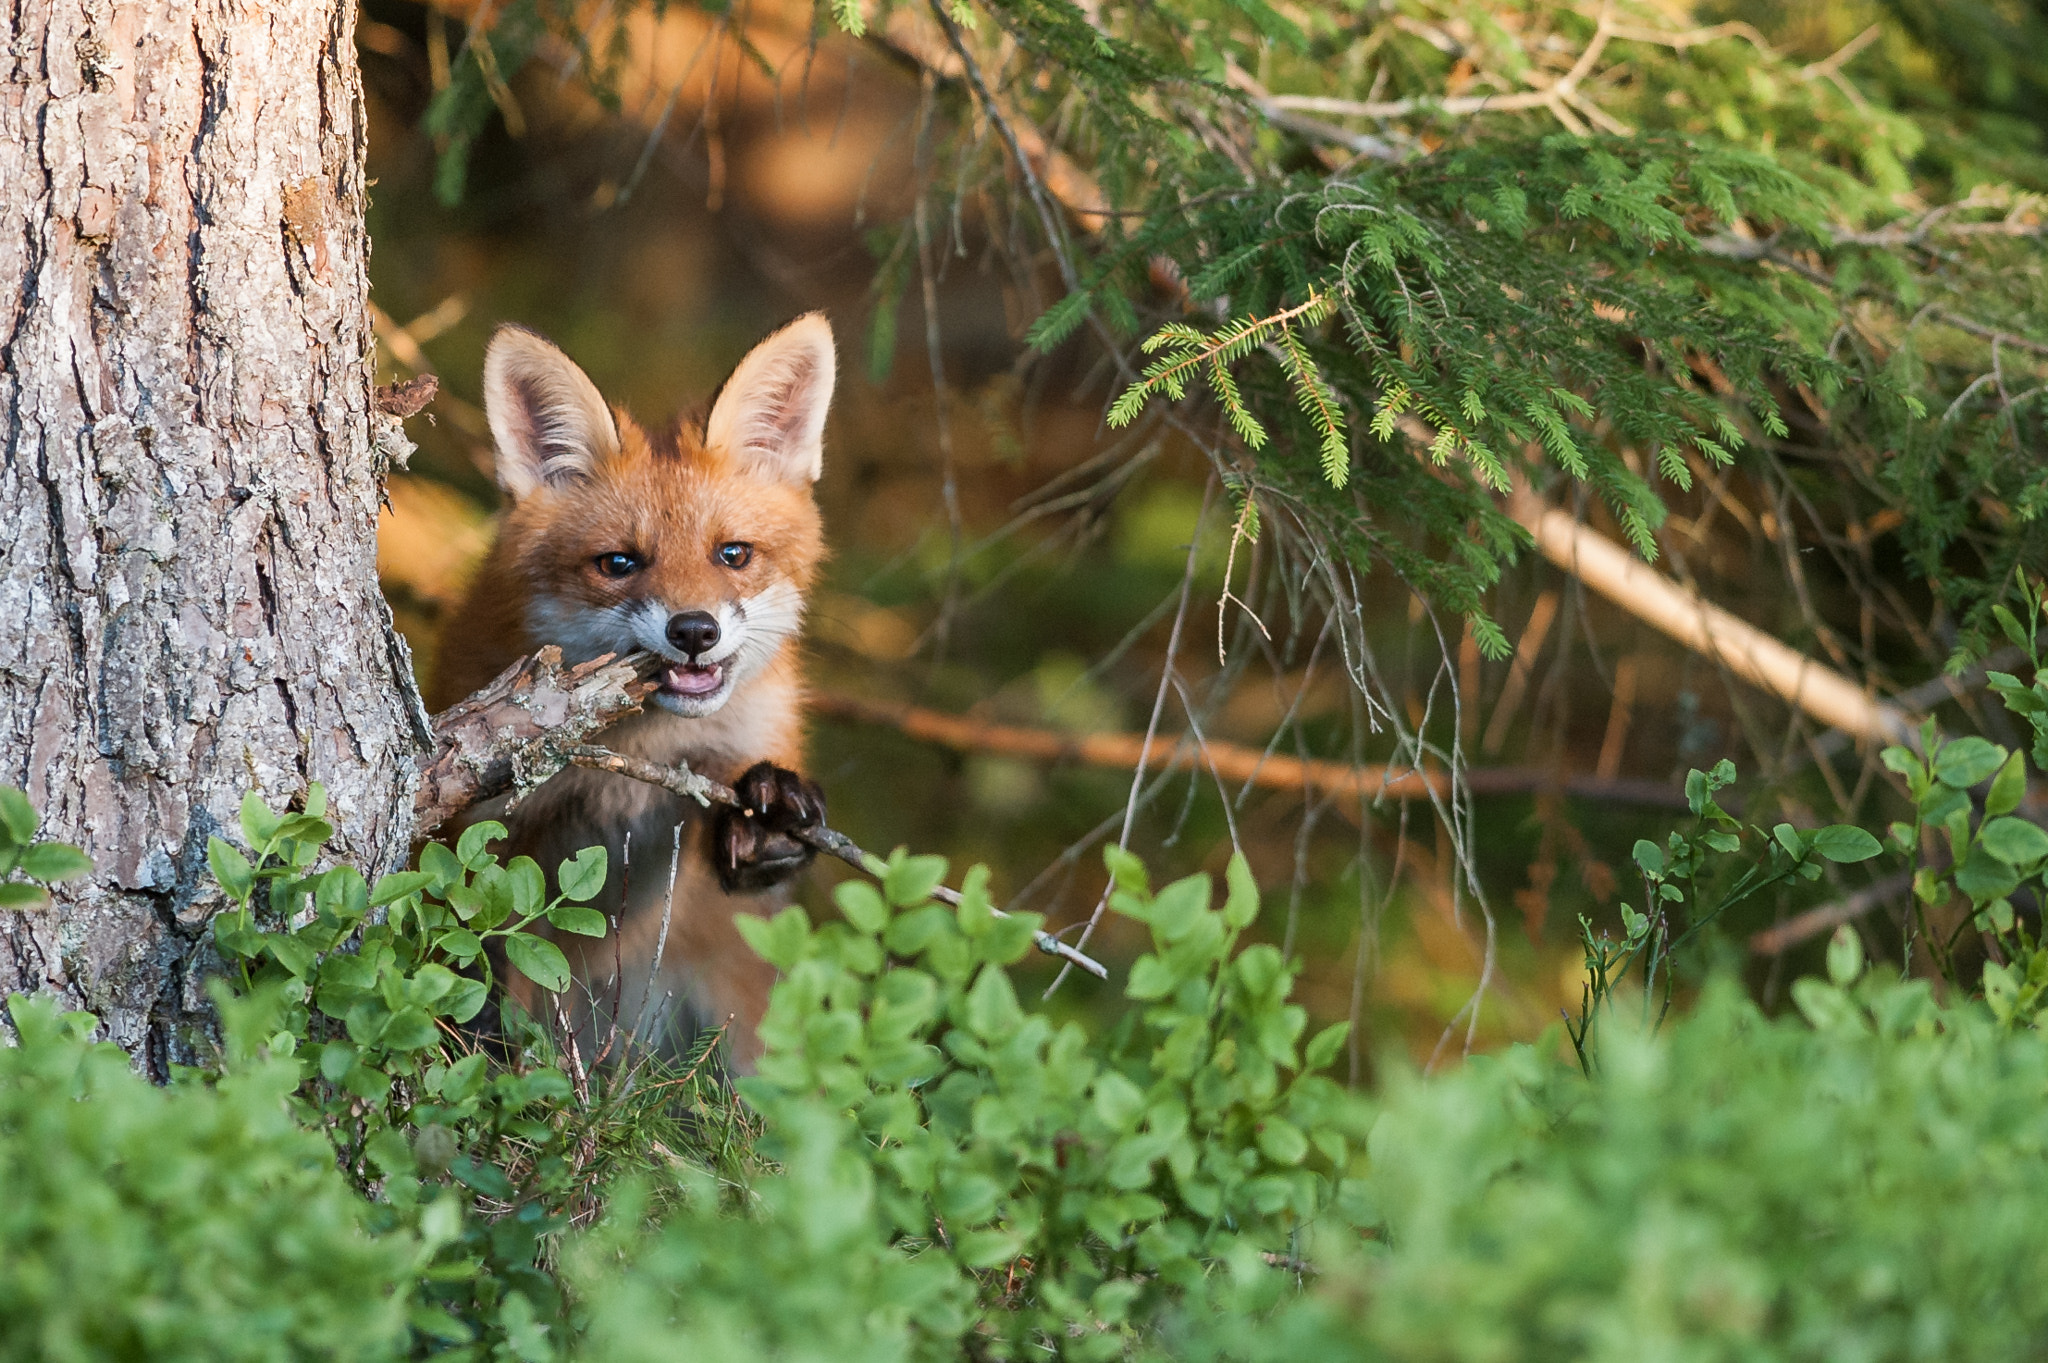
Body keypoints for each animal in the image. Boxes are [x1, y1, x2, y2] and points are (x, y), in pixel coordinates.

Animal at [428, 313, 837, 1070]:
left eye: (733, 554)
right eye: (619, 563)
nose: (694, 630)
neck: (640, 754)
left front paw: (770, 812)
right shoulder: (486, 827)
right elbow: (479, 941)